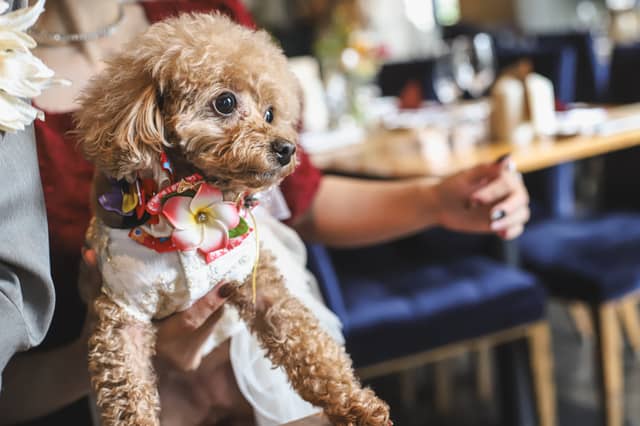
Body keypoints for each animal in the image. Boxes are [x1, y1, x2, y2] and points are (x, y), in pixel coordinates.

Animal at [0, 0, 528, 426]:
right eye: (225, 102)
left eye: (272, 112)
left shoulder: (257, 283)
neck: (186, 193)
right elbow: (127, 393)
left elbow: (313, 348)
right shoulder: (122, 310)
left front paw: (359, 407)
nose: (287, 149)